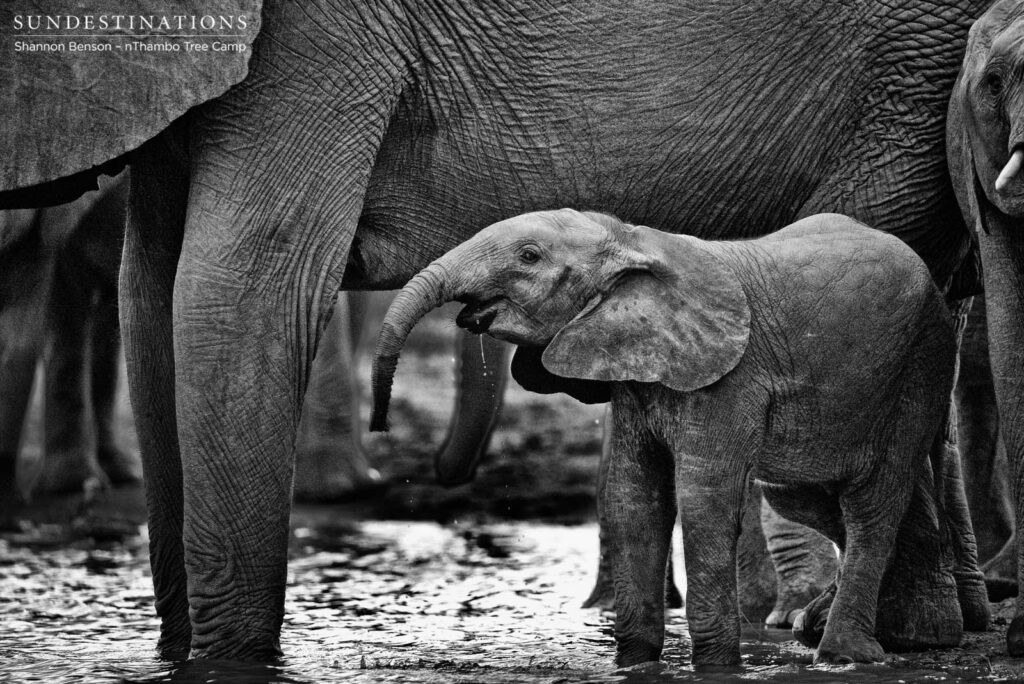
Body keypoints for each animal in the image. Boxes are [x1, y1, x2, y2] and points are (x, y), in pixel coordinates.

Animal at [368, 209, 983, 666]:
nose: (380, 425)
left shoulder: (729, 378)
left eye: (529, 257)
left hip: (920, 364)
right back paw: (898, 635)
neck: (632, 240)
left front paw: (715, 665)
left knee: (873, 500)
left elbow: (702, 497)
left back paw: (846, 652)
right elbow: (634, 496)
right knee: (809, 495)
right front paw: (636, 662)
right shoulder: (637, 373)